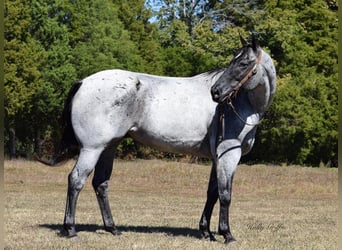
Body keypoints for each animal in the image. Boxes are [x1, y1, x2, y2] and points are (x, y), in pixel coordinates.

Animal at [40, 34, 276, 243]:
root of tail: (84, 82)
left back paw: (112, 228)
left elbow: (212, 193)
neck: (243, 104)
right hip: (92, 148)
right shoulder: (229, 155)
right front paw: (226, 234)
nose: (216, 92)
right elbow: (225, 195)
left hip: (109, 147)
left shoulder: (217, 157)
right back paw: (71, 229)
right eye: (233, 62)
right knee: (76, 180)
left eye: (243, 63)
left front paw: (206, 232)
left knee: (101, 184)